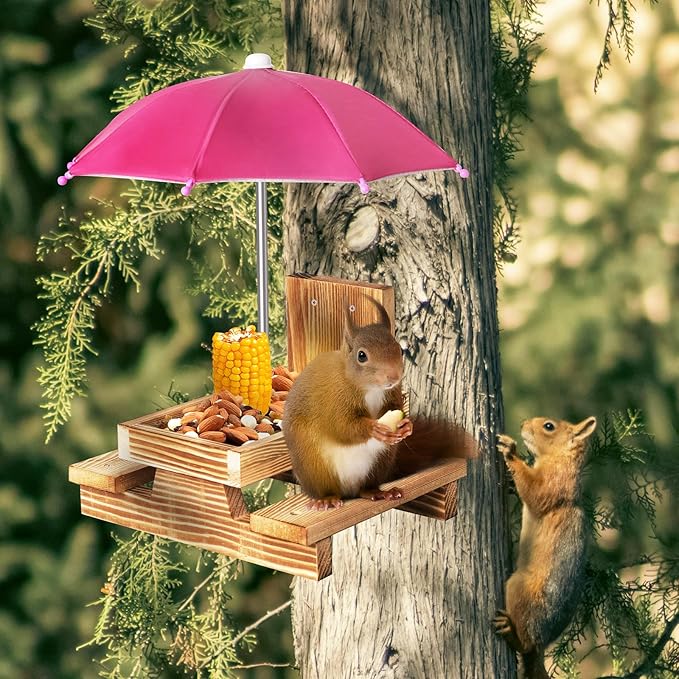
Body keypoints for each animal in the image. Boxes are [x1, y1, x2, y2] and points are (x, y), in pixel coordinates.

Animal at [284, 296, 414, 510]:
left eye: (399, 349)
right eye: (362, 355)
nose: (394, 376)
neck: (371, 389)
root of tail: (348, 490)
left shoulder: (392, 393)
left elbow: (395, 408)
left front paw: (407, 426)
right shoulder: (334, 399)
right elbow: (342, 426)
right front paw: (373, 428)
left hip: (381, 461)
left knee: (366, 488)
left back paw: (378, 492)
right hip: (312, 464)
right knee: (325, 488)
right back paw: (325, 499)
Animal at [494, 416, 597, 679]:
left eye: (549, 426)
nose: (522, 424)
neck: (559, 459)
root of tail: (542, 644)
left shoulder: (554, 484)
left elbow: (534, 492)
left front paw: (510, 451)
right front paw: (510, 481)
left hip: (519, 589)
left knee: (526, 644)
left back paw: (511, 632)